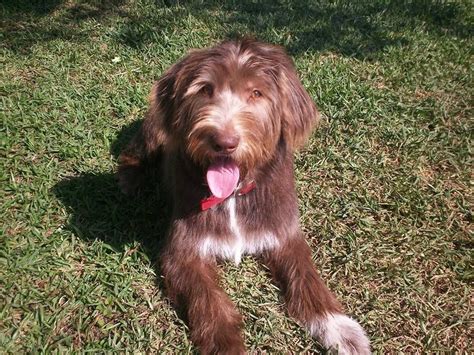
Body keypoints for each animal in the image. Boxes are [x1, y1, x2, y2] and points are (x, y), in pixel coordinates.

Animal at [118, 39, 370, 355]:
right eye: (205, 89)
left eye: (256, 93)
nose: (224, 142)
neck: (234, 195)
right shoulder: (183, 251)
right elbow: (210, 303)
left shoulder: (285, 233)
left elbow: (307, 278)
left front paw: (339, 327)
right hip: (155, 129)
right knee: (133, 151)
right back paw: (130, 180)